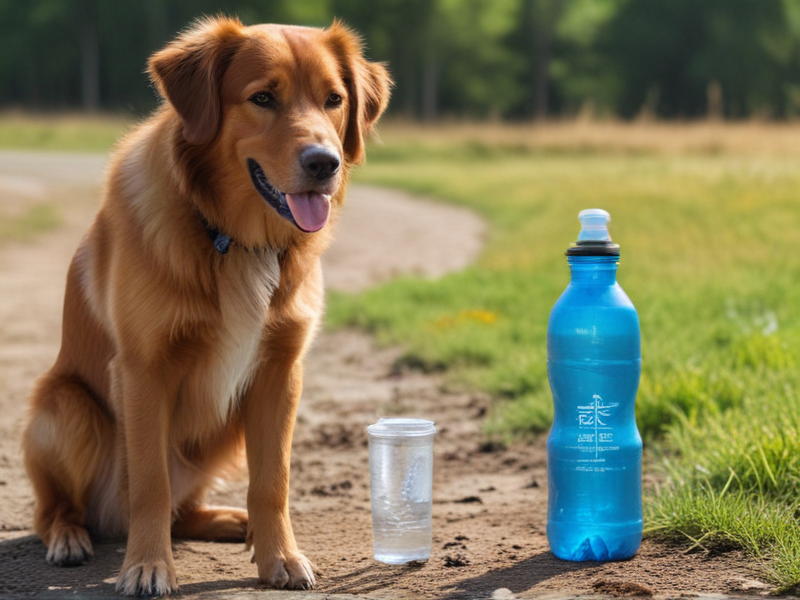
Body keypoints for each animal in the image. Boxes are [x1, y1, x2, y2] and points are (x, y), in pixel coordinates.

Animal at [21, 15, 390, 596]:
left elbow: (273, 481)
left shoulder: (281, 371)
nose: (325, 163)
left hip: (223, 431)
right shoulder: (143, 370)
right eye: (262, 97)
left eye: (334, 99)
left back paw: (231, 521)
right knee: (61, 509)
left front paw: (280, 557)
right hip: (65, 407)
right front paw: (148, 566)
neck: (235, 238)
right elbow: (150, 483)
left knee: (185, 510)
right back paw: (70, 537)